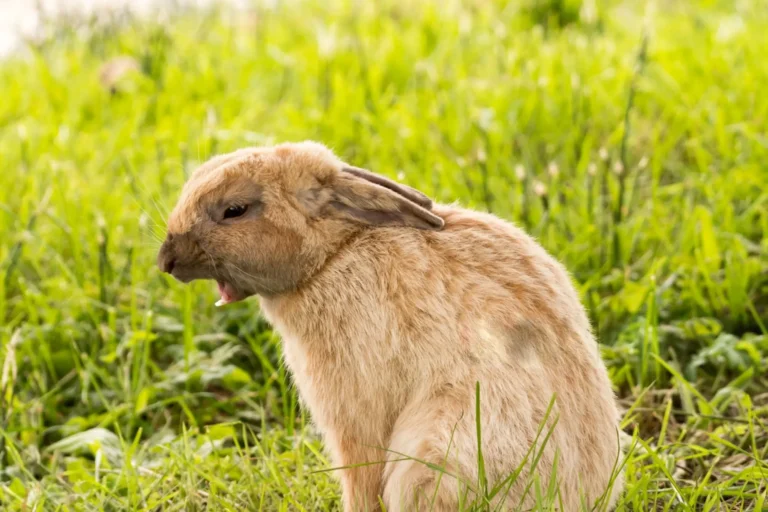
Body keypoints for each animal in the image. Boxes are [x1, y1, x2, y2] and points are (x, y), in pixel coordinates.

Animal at [157, 141, 624, 511]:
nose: (166, 261)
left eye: (234, 210)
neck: (333, 255)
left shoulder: (353, 415)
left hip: (432, 457)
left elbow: (360, 478)